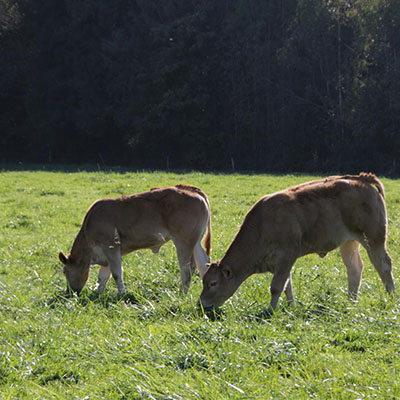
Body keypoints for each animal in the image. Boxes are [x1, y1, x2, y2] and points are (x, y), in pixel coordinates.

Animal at [59, 186, 212, 296]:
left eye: (65, 271)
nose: (69, 293)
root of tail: (191, 190)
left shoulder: (111, 246)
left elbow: (116, 272)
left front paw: (121, 294)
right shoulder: (106, 254)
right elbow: (103, 276)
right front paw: (98, 294)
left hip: (183, 241)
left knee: (186, 270)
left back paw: (180, 295)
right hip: (196, 242)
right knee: (203, 264)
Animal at [198, 173, 396, 310]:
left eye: (213, 283)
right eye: (203, 280)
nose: (201, 304)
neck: (262, 225)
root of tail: (362, 178)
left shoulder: (286, 256)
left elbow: (276, 286)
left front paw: (271, 310)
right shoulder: (281, 263)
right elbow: (287, 285)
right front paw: (290, 307)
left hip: (374, 238)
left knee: (383, 265)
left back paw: (391, 296)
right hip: (349, 242)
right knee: (355, 268)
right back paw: (350, 301)